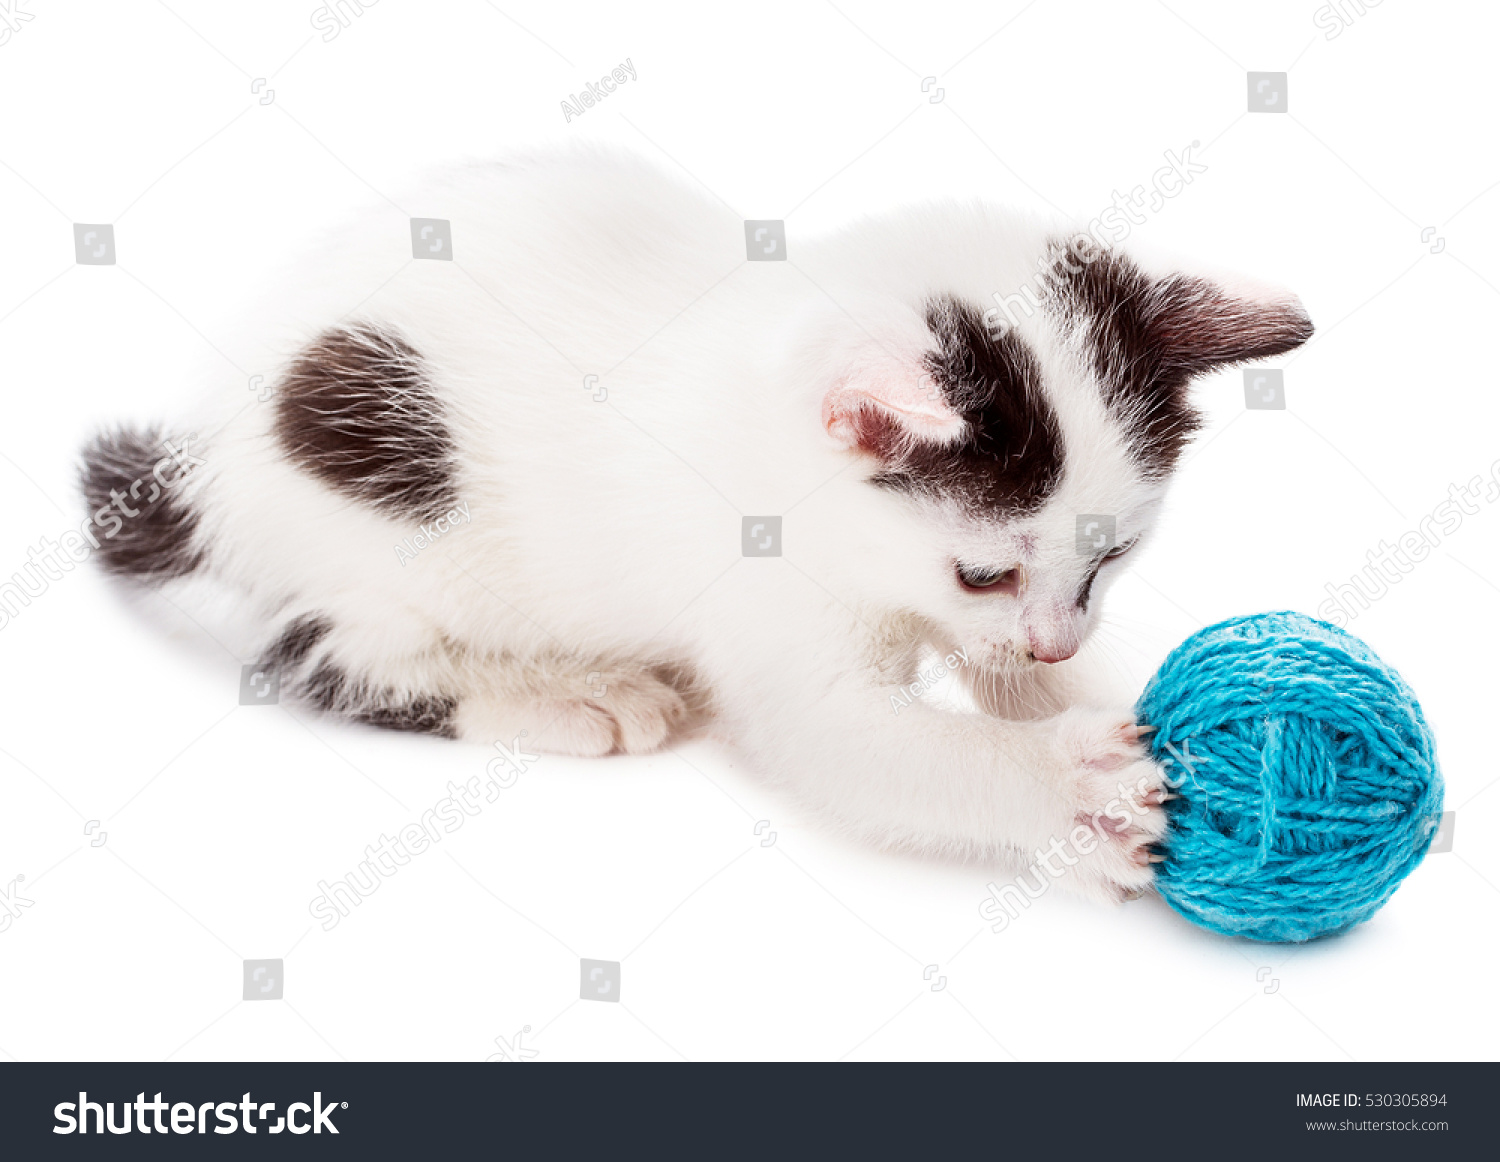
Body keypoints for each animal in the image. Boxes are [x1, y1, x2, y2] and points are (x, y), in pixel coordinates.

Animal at [79, 147, 1314, 911]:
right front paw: (1075, 790)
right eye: (980, 573)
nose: (1053, 641)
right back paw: (571, 692)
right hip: (380, 545)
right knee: (324, 656)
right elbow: (868, 746)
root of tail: (208, 461)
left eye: (1114, 560)